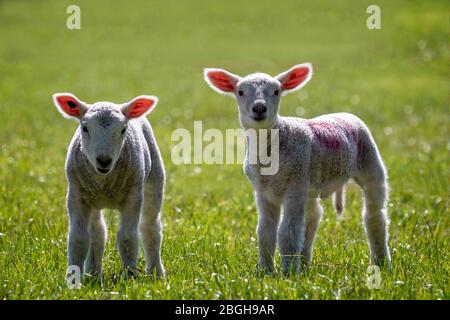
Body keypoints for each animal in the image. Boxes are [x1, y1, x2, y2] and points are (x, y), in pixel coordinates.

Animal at [52, 93, 165, 280]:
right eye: (85, 128)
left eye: (123, 130)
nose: (104, 160)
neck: (105, 181)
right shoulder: (76, 196)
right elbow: (78, 240)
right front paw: (73, 279)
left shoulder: (133, 196)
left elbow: (127, 238)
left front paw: (130, 277)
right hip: (92, 198)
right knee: (97, 232)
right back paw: (93, 273)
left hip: (154, 179)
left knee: (150, 227)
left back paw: (156, 272)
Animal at [204, 63, 390, 274]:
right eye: (240, 92)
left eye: (276, 91)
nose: (259, 108)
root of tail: (345, 113)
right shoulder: (263, 191)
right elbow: (265, 231)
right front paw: (266, 270)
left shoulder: (294, 185)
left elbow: (288, 232)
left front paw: (289, 272)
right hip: (310, 182)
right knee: (313, 216)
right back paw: (305, 262)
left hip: (369, 160)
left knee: (375, 215)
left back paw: (381, 261)